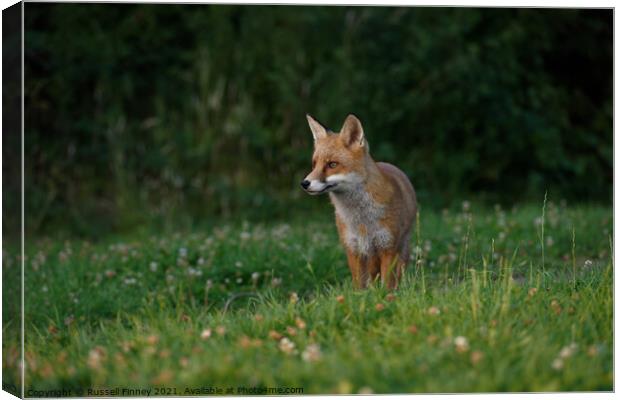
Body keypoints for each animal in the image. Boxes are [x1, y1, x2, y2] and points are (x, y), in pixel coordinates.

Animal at [300, 114, 416, 290]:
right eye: (314, 164)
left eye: (332, 164)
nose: (304, 183)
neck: (362, 219)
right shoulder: (353, 249)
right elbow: (359, 286)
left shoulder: (388, 247)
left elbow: (387, 284)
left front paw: (386, 296)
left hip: (402, 249)